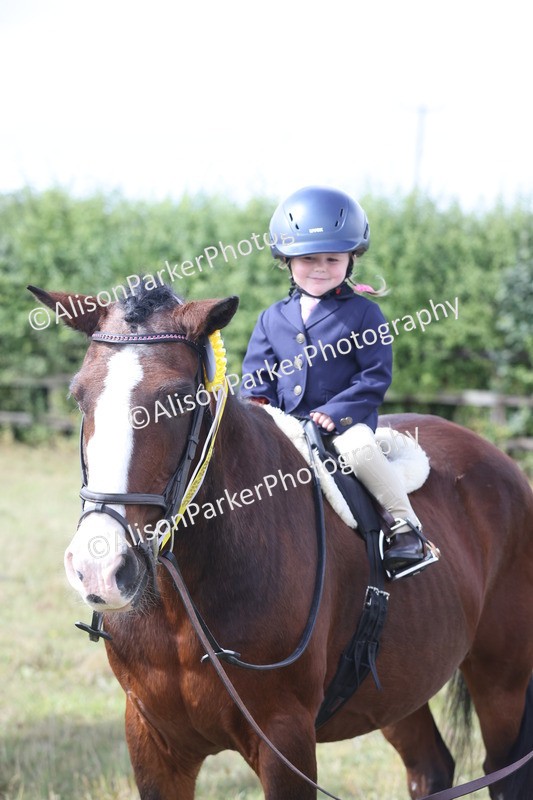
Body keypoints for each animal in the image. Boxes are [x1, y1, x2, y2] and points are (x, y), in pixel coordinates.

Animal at [29, 282, 533, 800]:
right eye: (79, 397)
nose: (100, 568)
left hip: (502, 680)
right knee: (430, 766)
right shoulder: (151, 741)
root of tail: (502, 463)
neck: (181, 604)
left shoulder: (284, 738)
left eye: (179, 399)